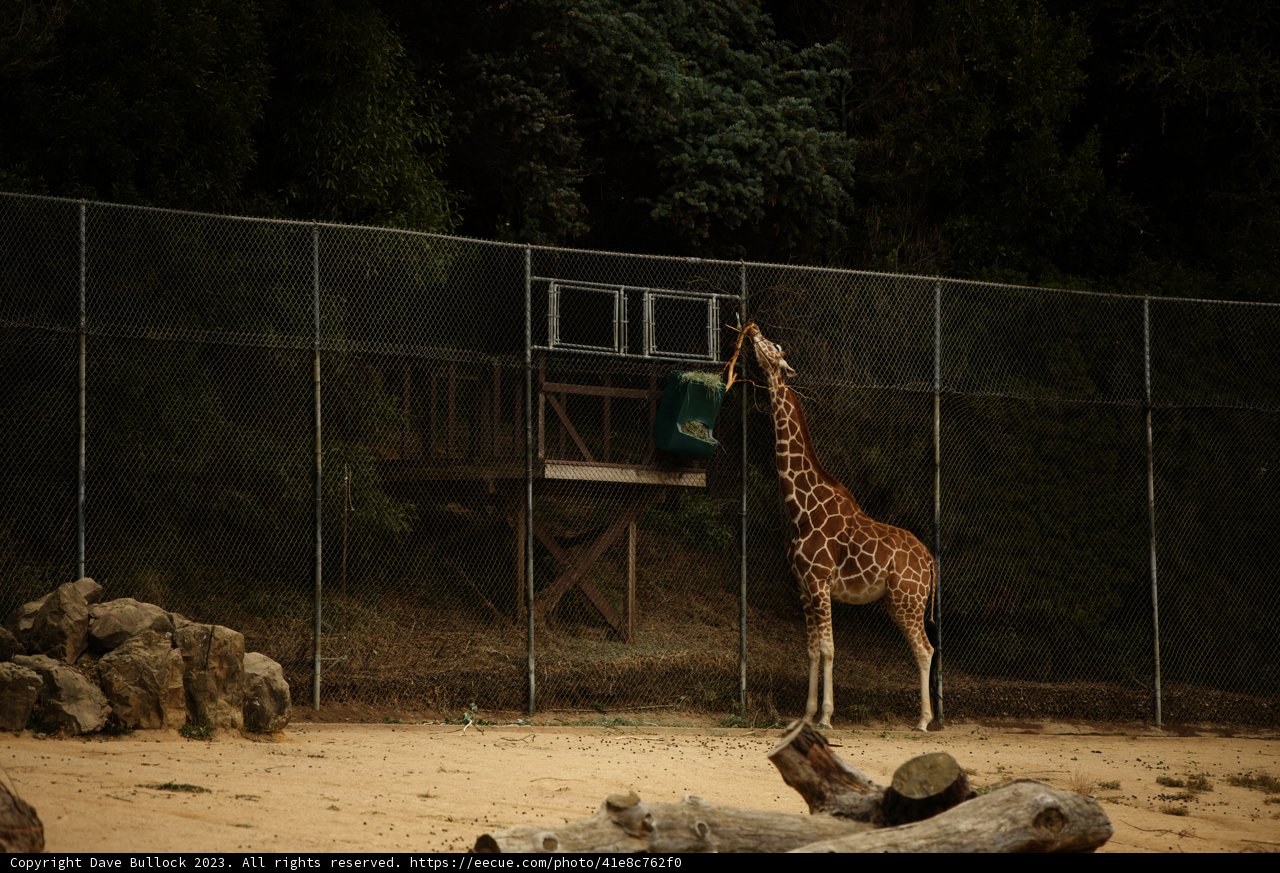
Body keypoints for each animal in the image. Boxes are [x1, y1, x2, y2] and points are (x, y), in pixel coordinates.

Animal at [744, 323, 938, 731]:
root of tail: (930, 561)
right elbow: (812, 650)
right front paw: (805, 715)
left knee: (925, 648)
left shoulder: (820, 583)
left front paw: (826, 717)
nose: (751, 329)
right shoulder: (803, 587)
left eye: (774, 345)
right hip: (896, 601)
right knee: (924, 647)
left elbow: (829, 649)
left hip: (907, 600)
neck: (802, 509)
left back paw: (924, 721)